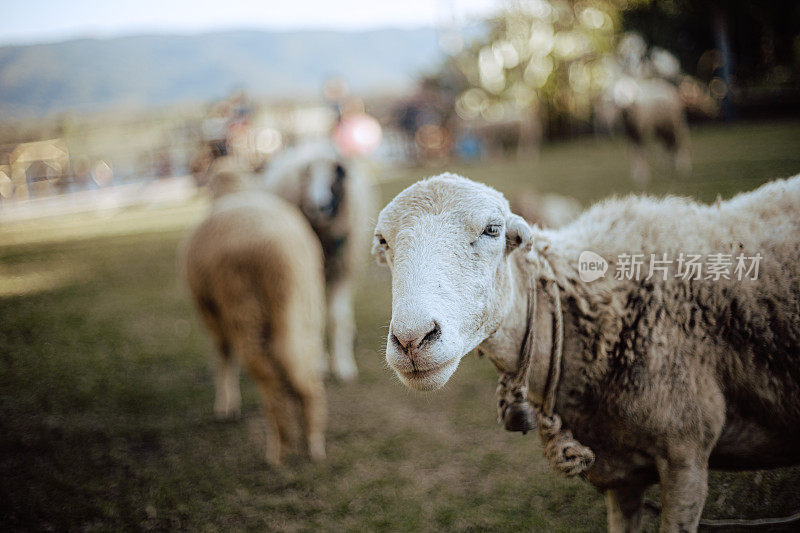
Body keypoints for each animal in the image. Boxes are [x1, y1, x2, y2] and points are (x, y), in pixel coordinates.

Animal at [183, 168, 326, 464]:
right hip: (305, 306)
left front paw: (226, 405)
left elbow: (223, 355)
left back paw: (279, 447)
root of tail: (277, 252)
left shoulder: (211, 314)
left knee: (266, 373)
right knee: (303, 365)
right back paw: (313, 438)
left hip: (244, 309)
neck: (234, 189)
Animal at [260, 140, 376, 382]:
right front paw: (320, 364)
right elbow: (316, 318)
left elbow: (338, 317)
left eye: (337, 172)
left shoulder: (342, 271)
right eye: (306, 175)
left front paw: (343, 365)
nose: (319, 207)